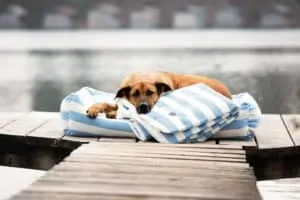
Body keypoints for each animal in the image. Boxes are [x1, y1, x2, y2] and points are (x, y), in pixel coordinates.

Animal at [86, 72, 232, 119]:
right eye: (135, 94)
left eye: (151, 93)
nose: (143, 107)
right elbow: (104, 103)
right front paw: (94, 108)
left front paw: (112, 113)